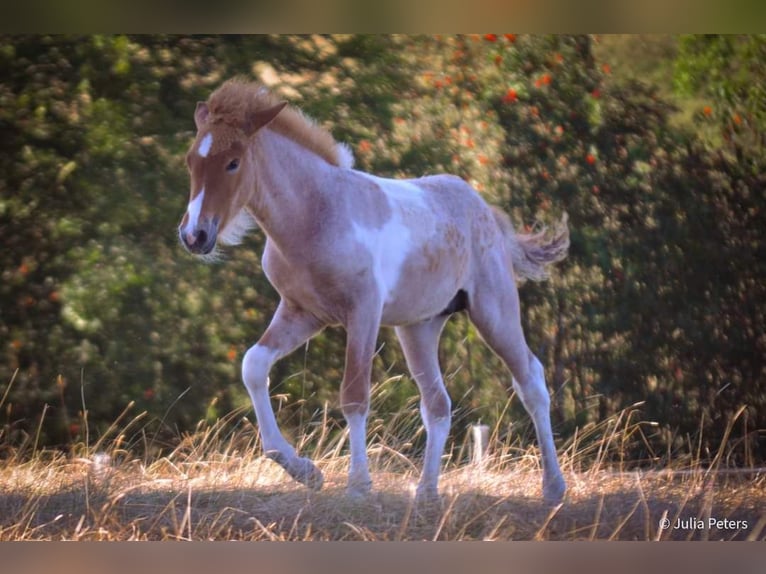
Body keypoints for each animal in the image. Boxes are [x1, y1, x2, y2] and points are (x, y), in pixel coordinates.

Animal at [177, 80, 568, 504]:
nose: (194, 235)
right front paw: (303, 471)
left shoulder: (362, 312)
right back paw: (426, 492)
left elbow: (353, 395)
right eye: (190, 161)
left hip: (493, 311)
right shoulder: (302, 312)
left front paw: (358, 485)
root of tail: (486, 211)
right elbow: (253, 365)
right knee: (438, 404)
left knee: (531, 381)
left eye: (233, 162)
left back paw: (553, 487)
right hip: (419, 328)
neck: (315, 214)